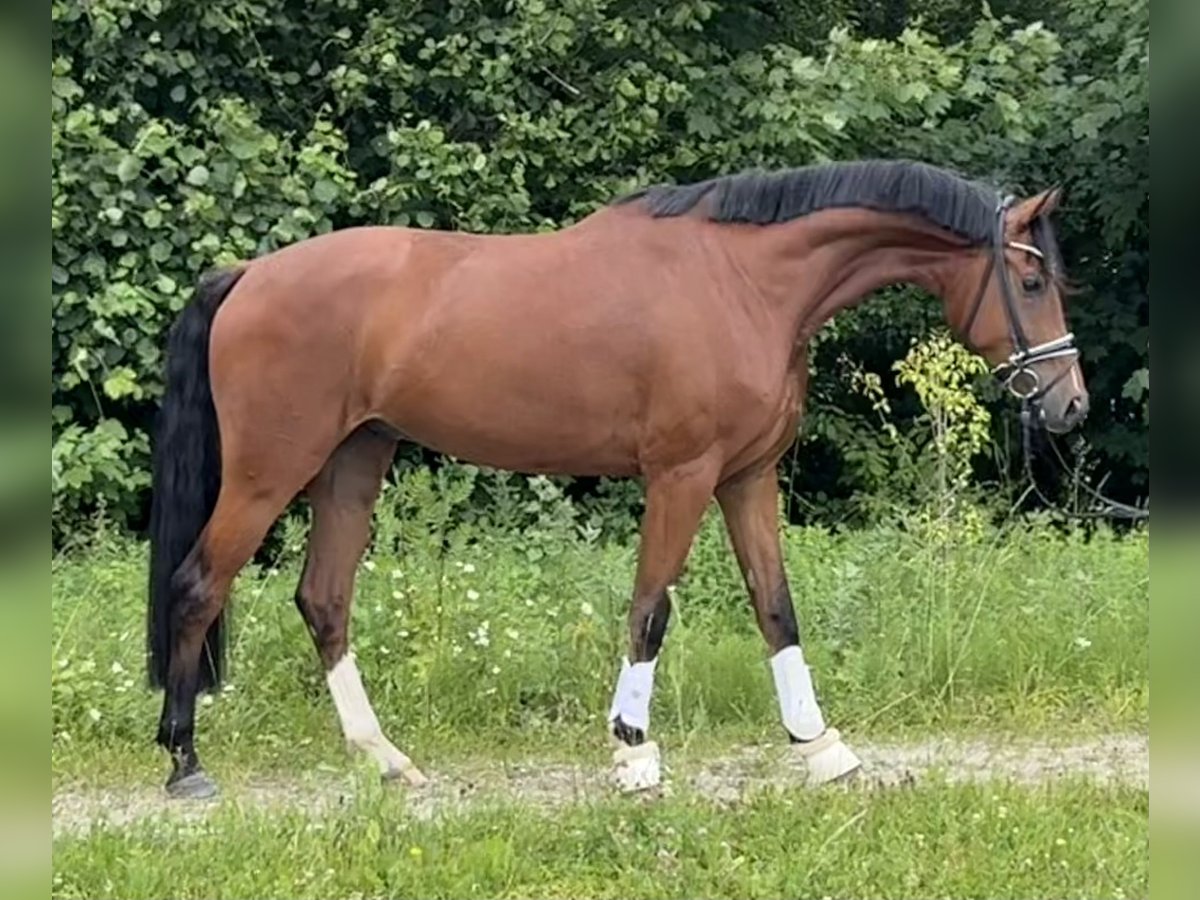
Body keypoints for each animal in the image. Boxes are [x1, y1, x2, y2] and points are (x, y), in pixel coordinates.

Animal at [146, 159, 1087, 798]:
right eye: (1031, 277)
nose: (1069, 404)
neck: (744, 282)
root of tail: (247, 276)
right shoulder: (682, 475)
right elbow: (651, 609)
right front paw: (635, 751)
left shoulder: (748, 477)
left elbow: (775, 607)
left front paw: (822, 747)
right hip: (271, 471)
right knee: (198, 585)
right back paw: (186, 761)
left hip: (354, 461)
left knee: (324, 599)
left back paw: (386, 759)